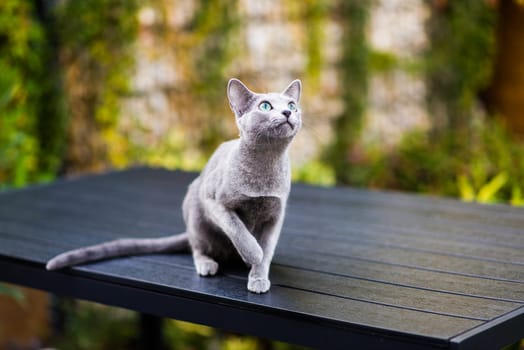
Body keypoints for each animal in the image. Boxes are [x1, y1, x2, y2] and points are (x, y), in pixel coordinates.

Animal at [49, 78, 304, 294]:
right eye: (265, 106)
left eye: (292, 104)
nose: (288, 112)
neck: (265, 165)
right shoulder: (213, 201)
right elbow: (238, 229)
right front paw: (253, 254)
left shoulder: (275, 215)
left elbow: (267, 248)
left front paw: (258, 276)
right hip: (196, 214)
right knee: (197, 248)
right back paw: (208, 264)